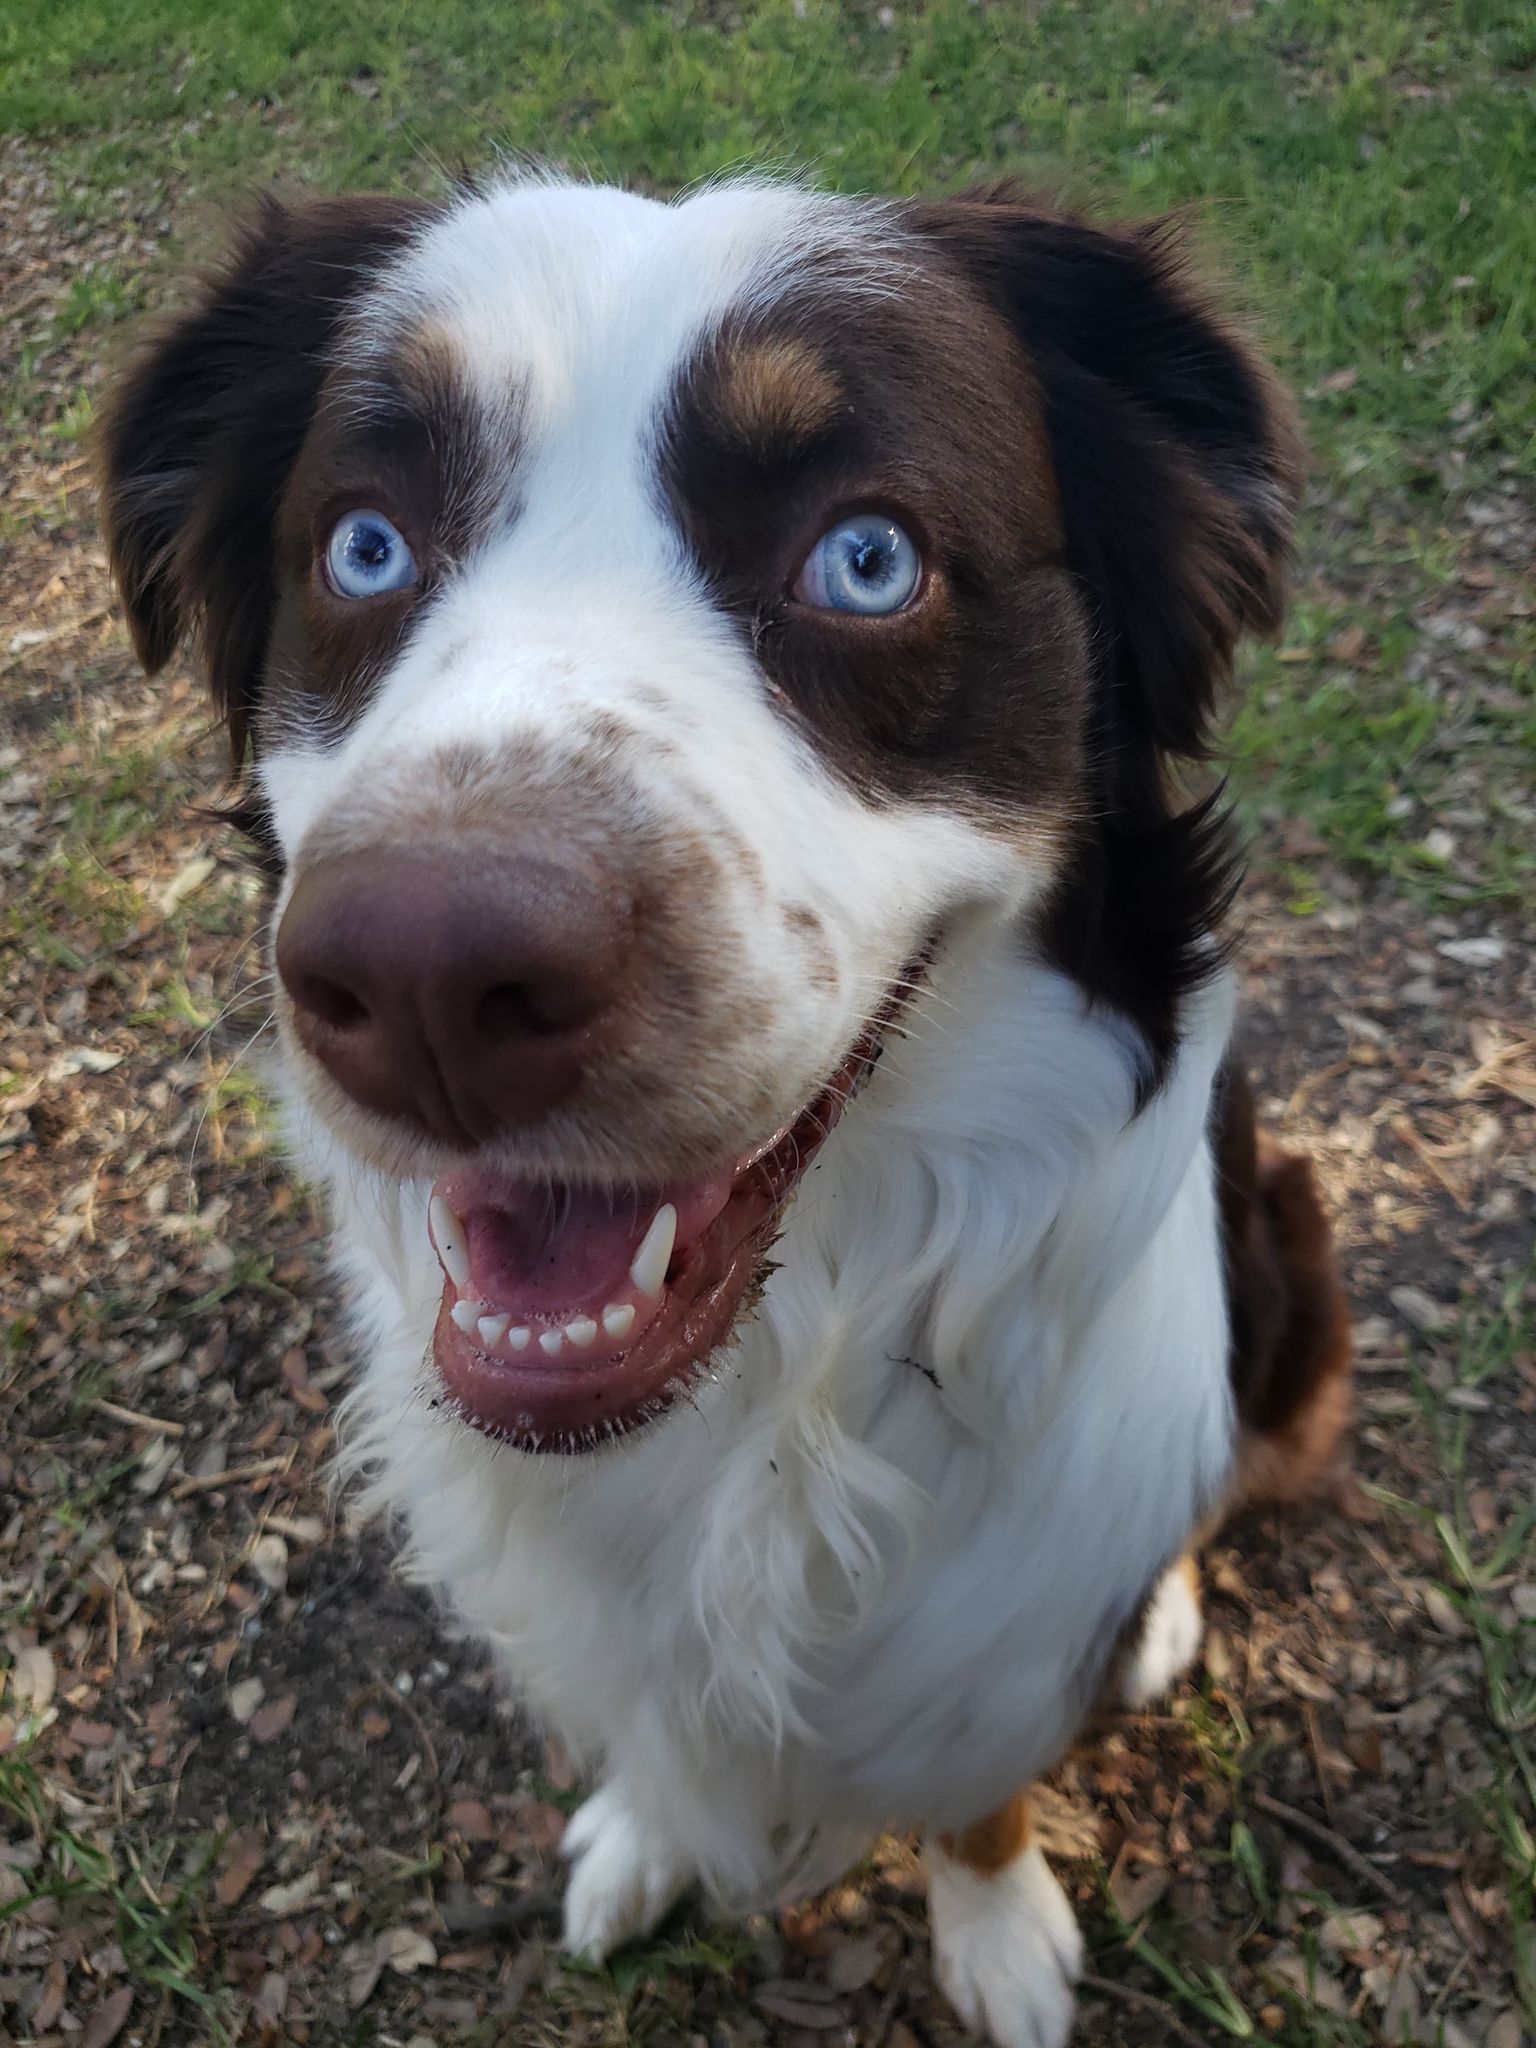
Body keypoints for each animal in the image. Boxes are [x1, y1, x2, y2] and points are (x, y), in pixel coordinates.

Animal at [96, 176, 1351, 2048]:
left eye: (867, 558)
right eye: (363, 547)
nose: (425, 980)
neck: (777, 1381)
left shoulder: (994, 1618)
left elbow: (983, 1784)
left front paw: (997, 1928)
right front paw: (642, 1835)